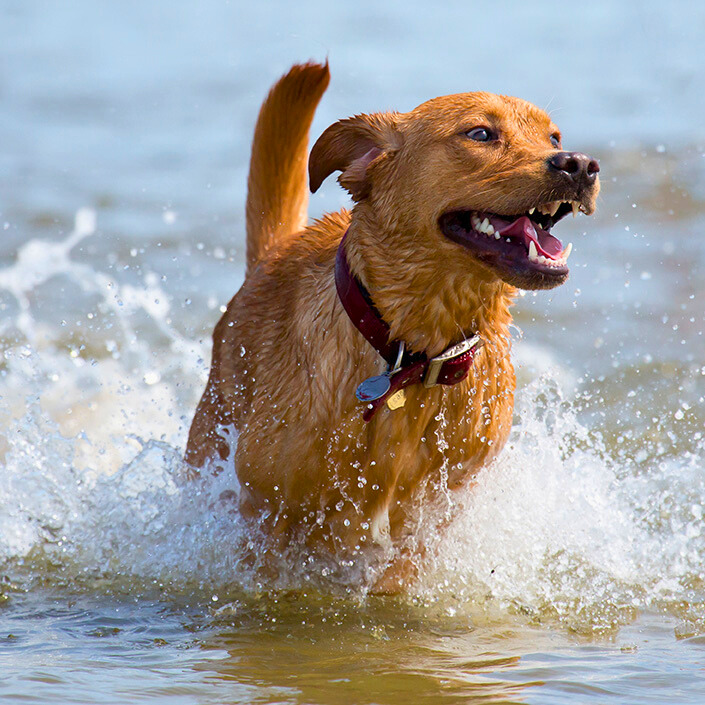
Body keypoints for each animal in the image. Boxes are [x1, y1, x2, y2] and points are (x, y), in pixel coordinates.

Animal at [184, 60, 596, 592]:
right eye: (481, 133)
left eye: (554, 136)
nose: (580, 164)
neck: (413, 357)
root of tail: (275, 252)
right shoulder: (264, 508)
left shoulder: (435, 519)